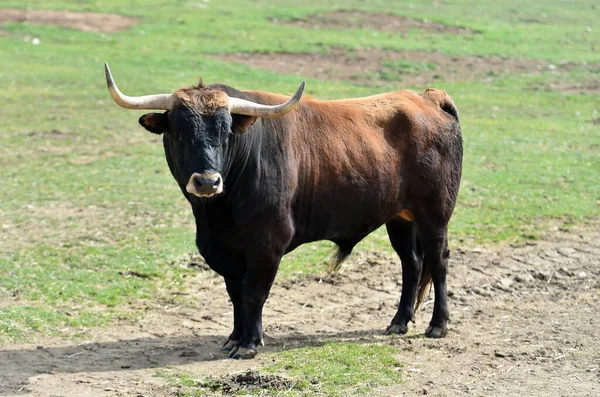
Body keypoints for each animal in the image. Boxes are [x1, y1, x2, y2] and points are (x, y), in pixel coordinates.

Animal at [104, 62, 464, 358]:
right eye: (178, 132)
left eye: (225, 132)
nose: (207, 181)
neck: (216, 215)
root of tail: (428, 98)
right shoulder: (225, 250)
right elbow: (236, 294)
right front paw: (235, 338)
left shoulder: (268, 243)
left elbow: (254, 293)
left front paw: (249, 344)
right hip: (400, 217)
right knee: (411, 263)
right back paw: (399, 322)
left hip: (435, 214)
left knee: (438, 260)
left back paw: (438, 325)